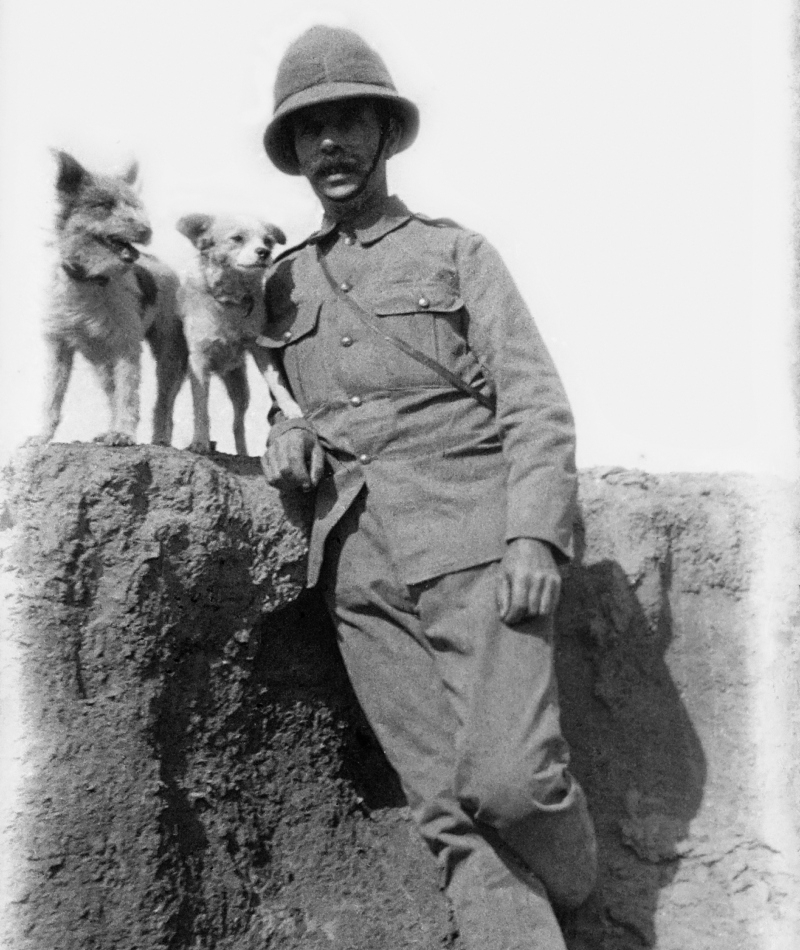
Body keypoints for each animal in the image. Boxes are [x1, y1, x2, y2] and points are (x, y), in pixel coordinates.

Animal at [177, 213, 302, 458]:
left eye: (268, 240)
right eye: (237, 238)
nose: (264, 252)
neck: (230, 301)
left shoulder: (259, 347)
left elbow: (277, 382)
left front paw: (291, 408)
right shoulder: (198, 360)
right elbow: (201, 407)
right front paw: (200, 441)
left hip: (240, 389)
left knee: (238, 424)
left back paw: (243, 453)